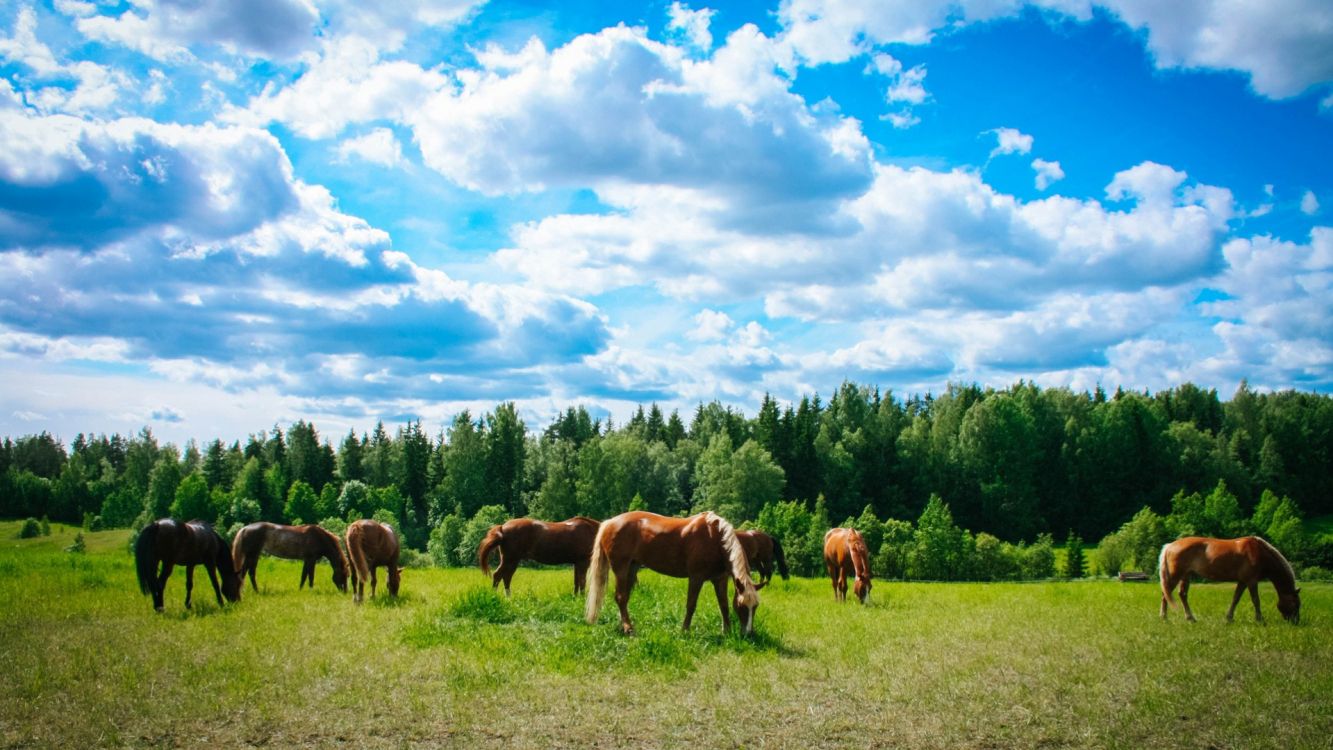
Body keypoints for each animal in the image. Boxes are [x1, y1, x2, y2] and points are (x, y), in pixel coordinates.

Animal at [583, 511, 762, 634]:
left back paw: (624, 625)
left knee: (624, 598)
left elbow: (723, 604)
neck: (715, 537)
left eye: (755, 607)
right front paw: (685, 630)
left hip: (631, 569)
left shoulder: (720, 579)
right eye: (742, 606)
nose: (749, 633)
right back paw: (628, 628)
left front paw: (727, 631)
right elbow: (691, 605)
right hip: (621, 568)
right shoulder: (696, 578)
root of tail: (609, 522)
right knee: (620, 597)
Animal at [1157, 538, 1301, 626]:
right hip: (1175, 576)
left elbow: (1235, 599)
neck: (1259, 553)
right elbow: (1256, 600)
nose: (1296, 622)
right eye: (1296, 604)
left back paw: (1190, 618)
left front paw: (1229, 618)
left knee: (1182, 595)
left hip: (1186, 576)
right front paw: (1260, 620)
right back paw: (1164, 617)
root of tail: (1170, 546)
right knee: (1166, 594)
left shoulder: (1243, 581)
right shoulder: (1251, 581)